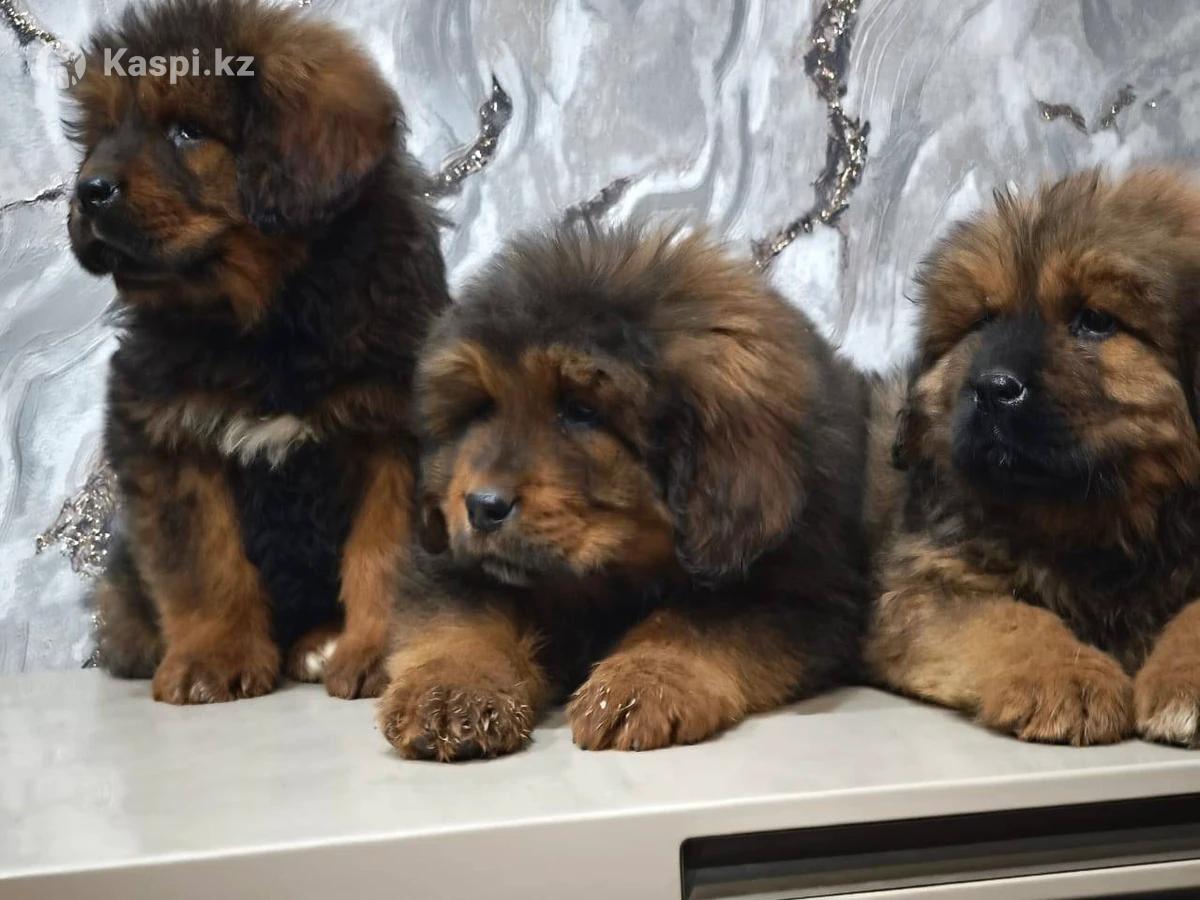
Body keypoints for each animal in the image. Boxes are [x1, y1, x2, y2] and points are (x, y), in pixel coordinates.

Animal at [67, 0, 449, 703]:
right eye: (101, 133)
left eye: (187, 132)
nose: (89, 190)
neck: (262, 322)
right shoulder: (173, 439)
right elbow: (205, 565)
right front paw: (212, 659)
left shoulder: (395, 438)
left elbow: (385, 555)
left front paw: (380, 654)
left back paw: (320, 645)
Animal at [375, 223, 870, 761]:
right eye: (481, 408)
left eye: (581, 411)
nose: (482, 507)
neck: (606, 584)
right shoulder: (449, 562)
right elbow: (461, 618)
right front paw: (451, 691)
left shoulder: (797, 596)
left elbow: (692, 624)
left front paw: (641, 684)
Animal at [867, 168, 1200, 747]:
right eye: (983, 320)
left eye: (1095, 320)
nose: (993, 389)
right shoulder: (925, 587)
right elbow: (1010, 620)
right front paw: (1067, 678)